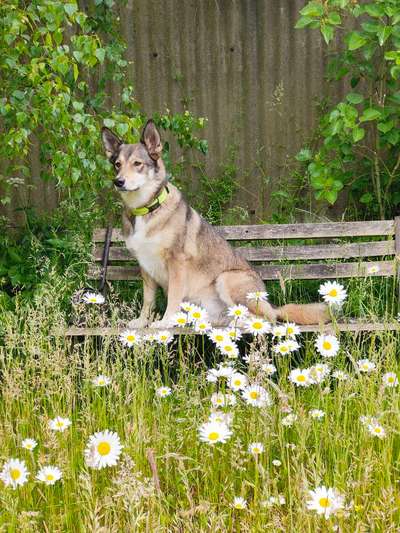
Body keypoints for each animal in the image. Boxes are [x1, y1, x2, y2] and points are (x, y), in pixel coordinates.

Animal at [101, 120, 330, 328]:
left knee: (267, 319)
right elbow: (148, 300)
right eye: (117, 164)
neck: (146, 209)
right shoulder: (145, 266)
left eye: (137, 164)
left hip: (226, 279)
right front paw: (142, 322)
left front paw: (165, 322)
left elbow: (173, 297)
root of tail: (271, 304)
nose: (118, 181)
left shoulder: (176, 262)